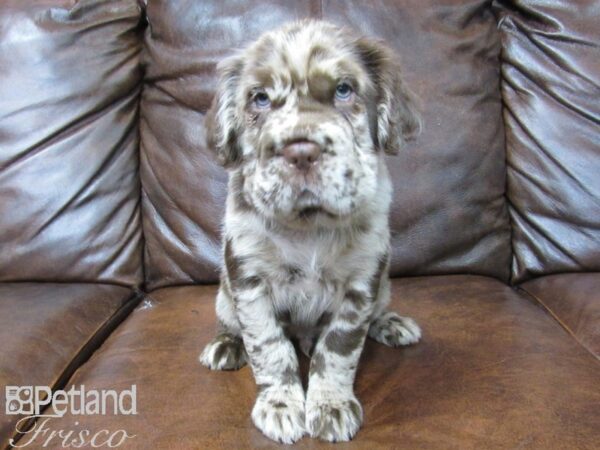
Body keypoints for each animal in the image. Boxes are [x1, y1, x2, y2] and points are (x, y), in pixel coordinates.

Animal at [199, 20, 420, 442]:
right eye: (260, 99)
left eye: (344, 90)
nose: (300, 151)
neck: (309, 225)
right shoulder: (248, 280)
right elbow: (269, 346)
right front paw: (280, 405)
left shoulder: (362, 283)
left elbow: (337, 350)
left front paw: (331, 406)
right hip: (224, 293)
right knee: (229, 321)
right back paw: (225, 345)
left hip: (383, 285)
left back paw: (390, 323)